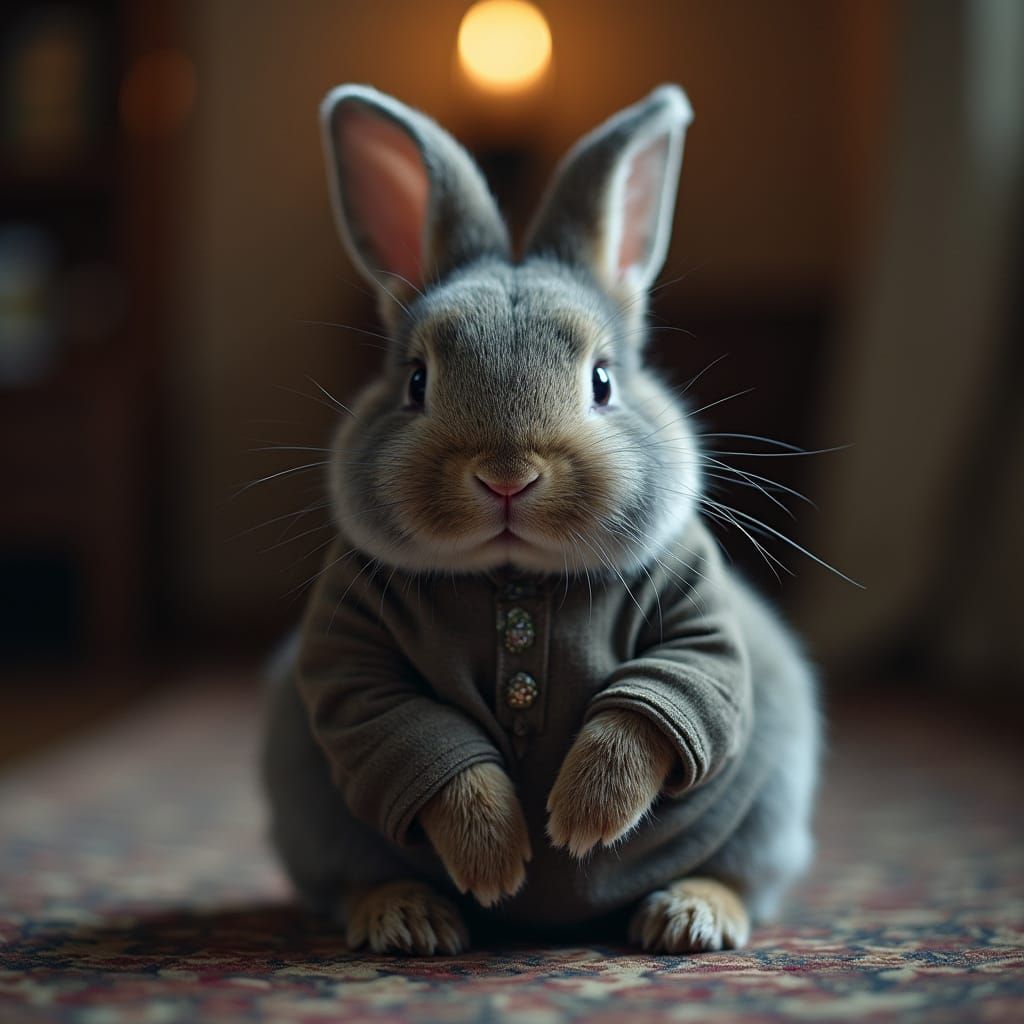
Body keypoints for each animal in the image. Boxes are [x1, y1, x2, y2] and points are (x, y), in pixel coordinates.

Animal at [262, 83, 820, 956]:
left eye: (602, 381)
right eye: (416, 381)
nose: (507, 476)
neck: (514, 579)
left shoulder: (697, 618)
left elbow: (655, 708)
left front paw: (580, 821)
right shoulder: (350, 652)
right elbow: (420, 741)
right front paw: (497, 861)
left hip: (771, 798)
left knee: (742, 875)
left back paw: (689, 917)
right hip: (311, 805)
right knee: (351, 877)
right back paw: (408, 918)